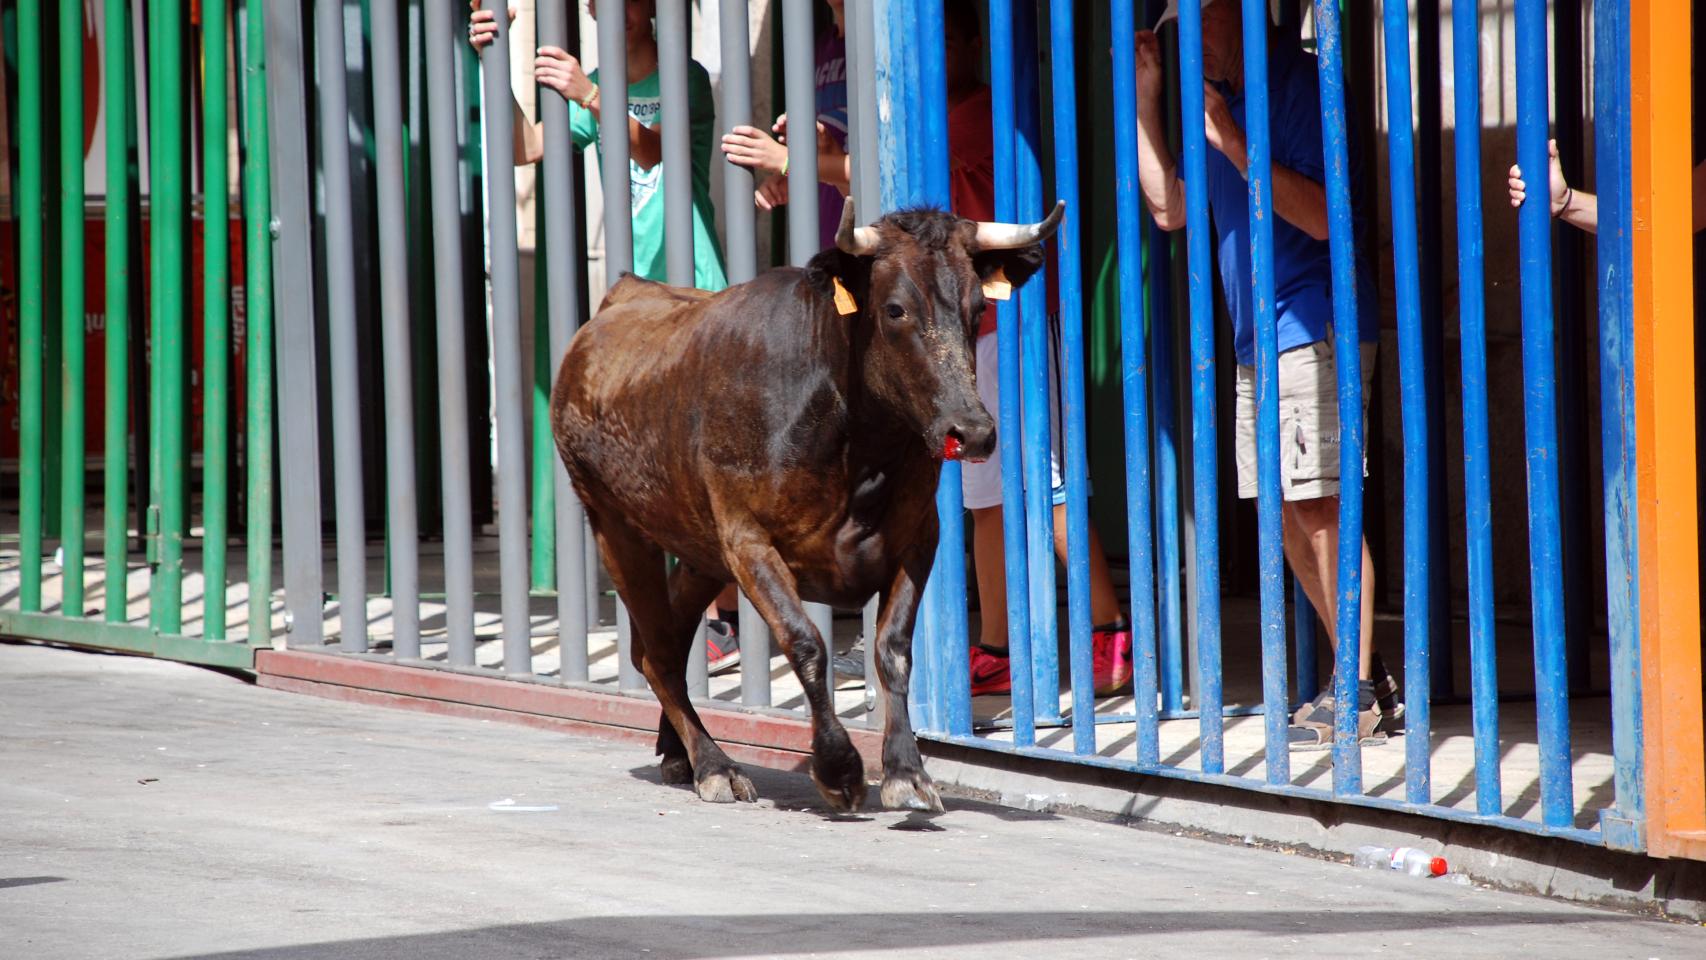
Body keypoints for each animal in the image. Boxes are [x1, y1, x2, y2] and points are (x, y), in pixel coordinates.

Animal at [552, 199, 1064, 815]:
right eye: (895, 309)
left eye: (977, 308)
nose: (973, 432)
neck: (856, 446)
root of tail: (624, 294)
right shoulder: (748, 543)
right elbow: (805, 643)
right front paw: (839, 768)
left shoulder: (920, 537)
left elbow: (893, 650)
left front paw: (907, 772)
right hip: (616, 526)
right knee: (658, 652)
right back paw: (714, 765)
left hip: (698, 551)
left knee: (664, 640)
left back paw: (678, 752)